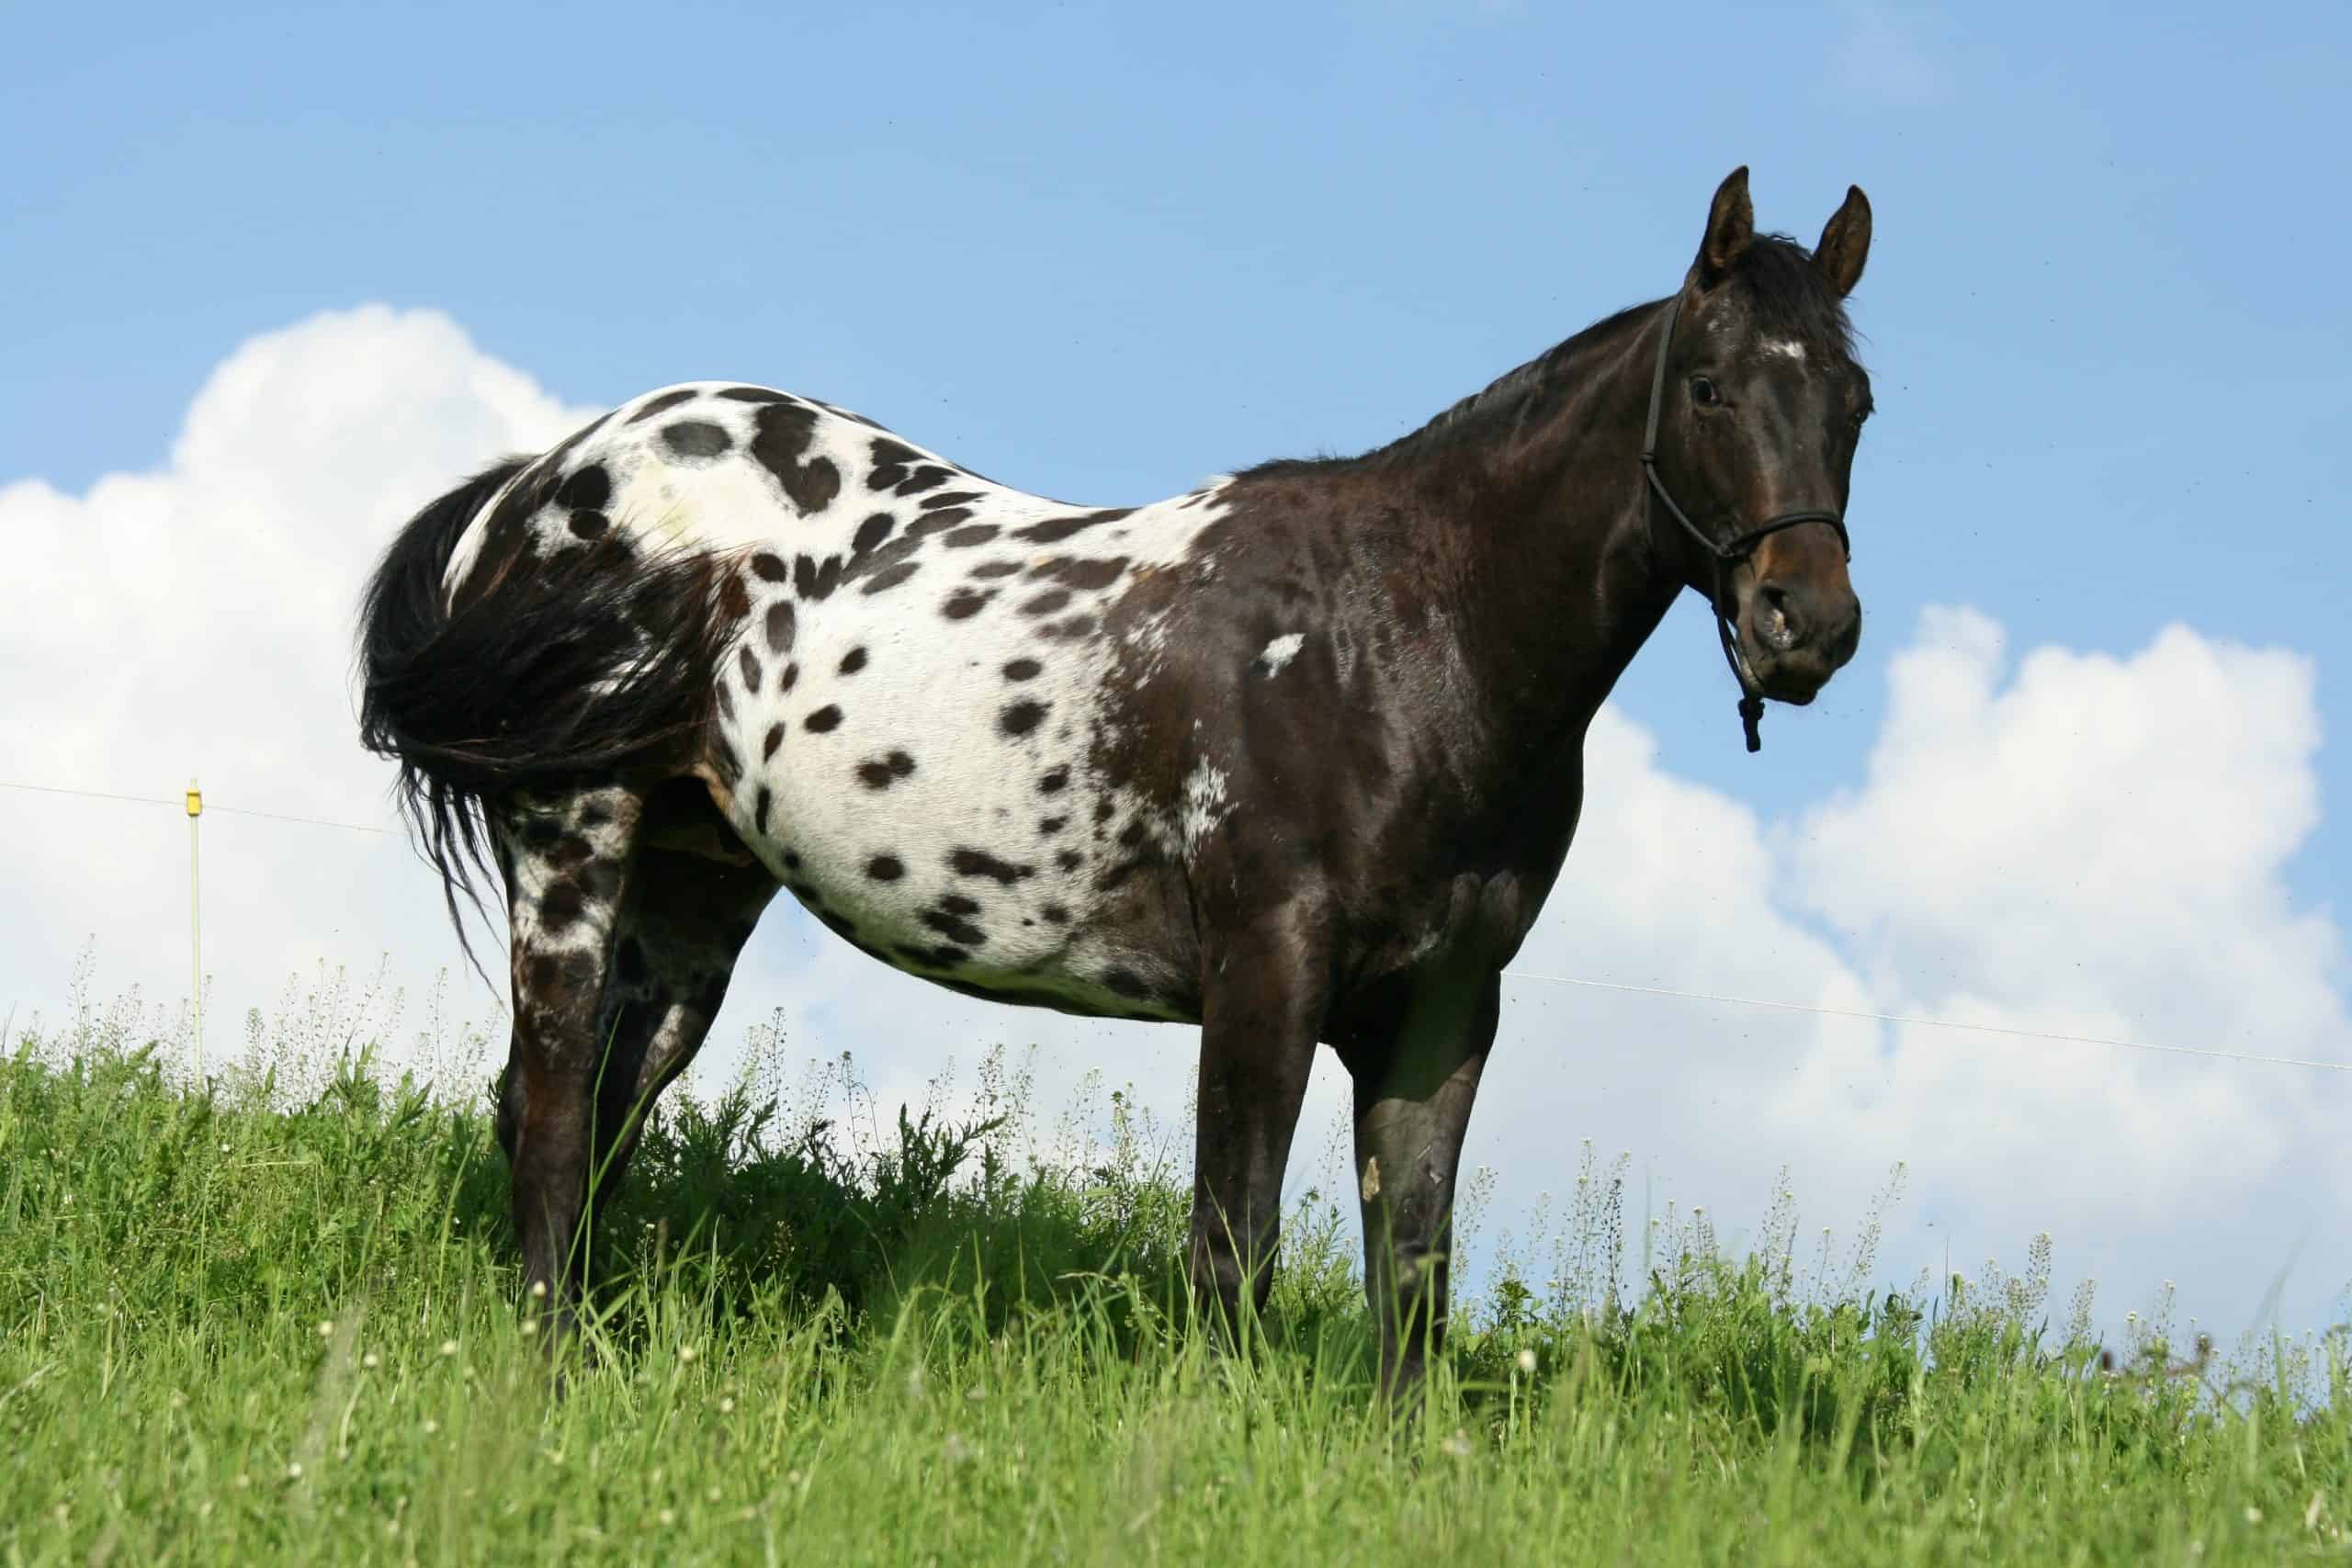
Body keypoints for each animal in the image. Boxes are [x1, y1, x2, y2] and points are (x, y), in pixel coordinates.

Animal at [362, 169, 1871, 1401]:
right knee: (552, 1110)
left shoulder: (1442, 1012)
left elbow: (1412, 1275)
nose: (1808, 624)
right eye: (1713, 389)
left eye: (1855, 405)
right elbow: (1233, 1243)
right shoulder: (1267, 972)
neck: (1400, 631)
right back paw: (548, 1375)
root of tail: (544, 479)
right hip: (575, 842)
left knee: (600, 1113)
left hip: (694, 893)